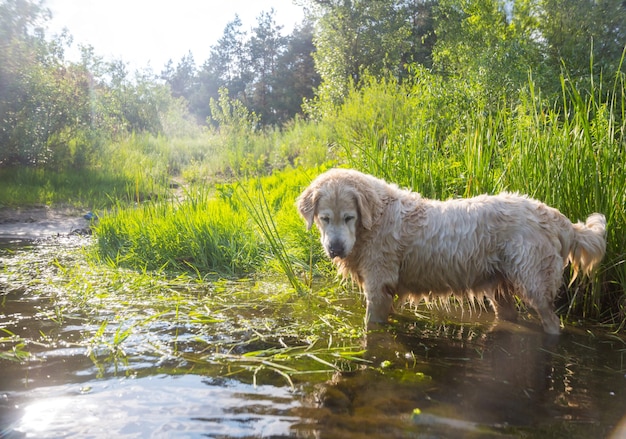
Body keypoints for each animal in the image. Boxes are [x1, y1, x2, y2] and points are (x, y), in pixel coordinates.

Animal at [298, 168, 604, 334]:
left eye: (349, 217)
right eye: (325, 218)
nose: (335, 248)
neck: (376, 218)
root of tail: (552, 215)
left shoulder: (378, 284)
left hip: (534, 282)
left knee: (551, 320)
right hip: (499, 288)